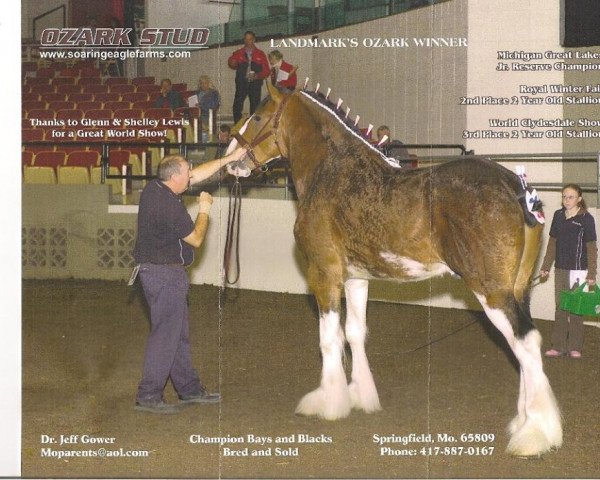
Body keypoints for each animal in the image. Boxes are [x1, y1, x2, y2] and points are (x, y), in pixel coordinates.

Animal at [226, 80, 564, 456]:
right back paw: (522, 422)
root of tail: (517, 188)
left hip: (491, 291)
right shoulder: (356, 279)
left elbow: (329, 339)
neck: (332, 172)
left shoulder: (323, 274)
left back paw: (534, 434)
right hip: (517, 289)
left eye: (256, 117)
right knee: (521, 346)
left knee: (526, 342)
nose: (230, 159)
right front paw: (359, 395)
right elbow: (354, 333)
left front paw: (329, 402)